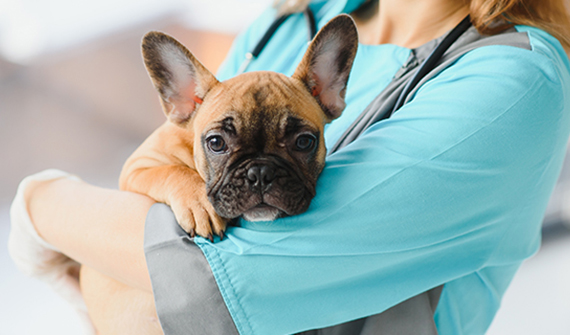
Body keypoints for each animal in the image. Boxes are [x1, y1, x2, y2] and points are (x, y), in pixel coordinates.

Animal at [78, 14, 358, 334]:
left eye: (304, 142)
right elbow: (172, 171)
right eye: (216, 143)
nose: (260, 172)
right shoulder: (138, 167)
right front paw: (199, 205)